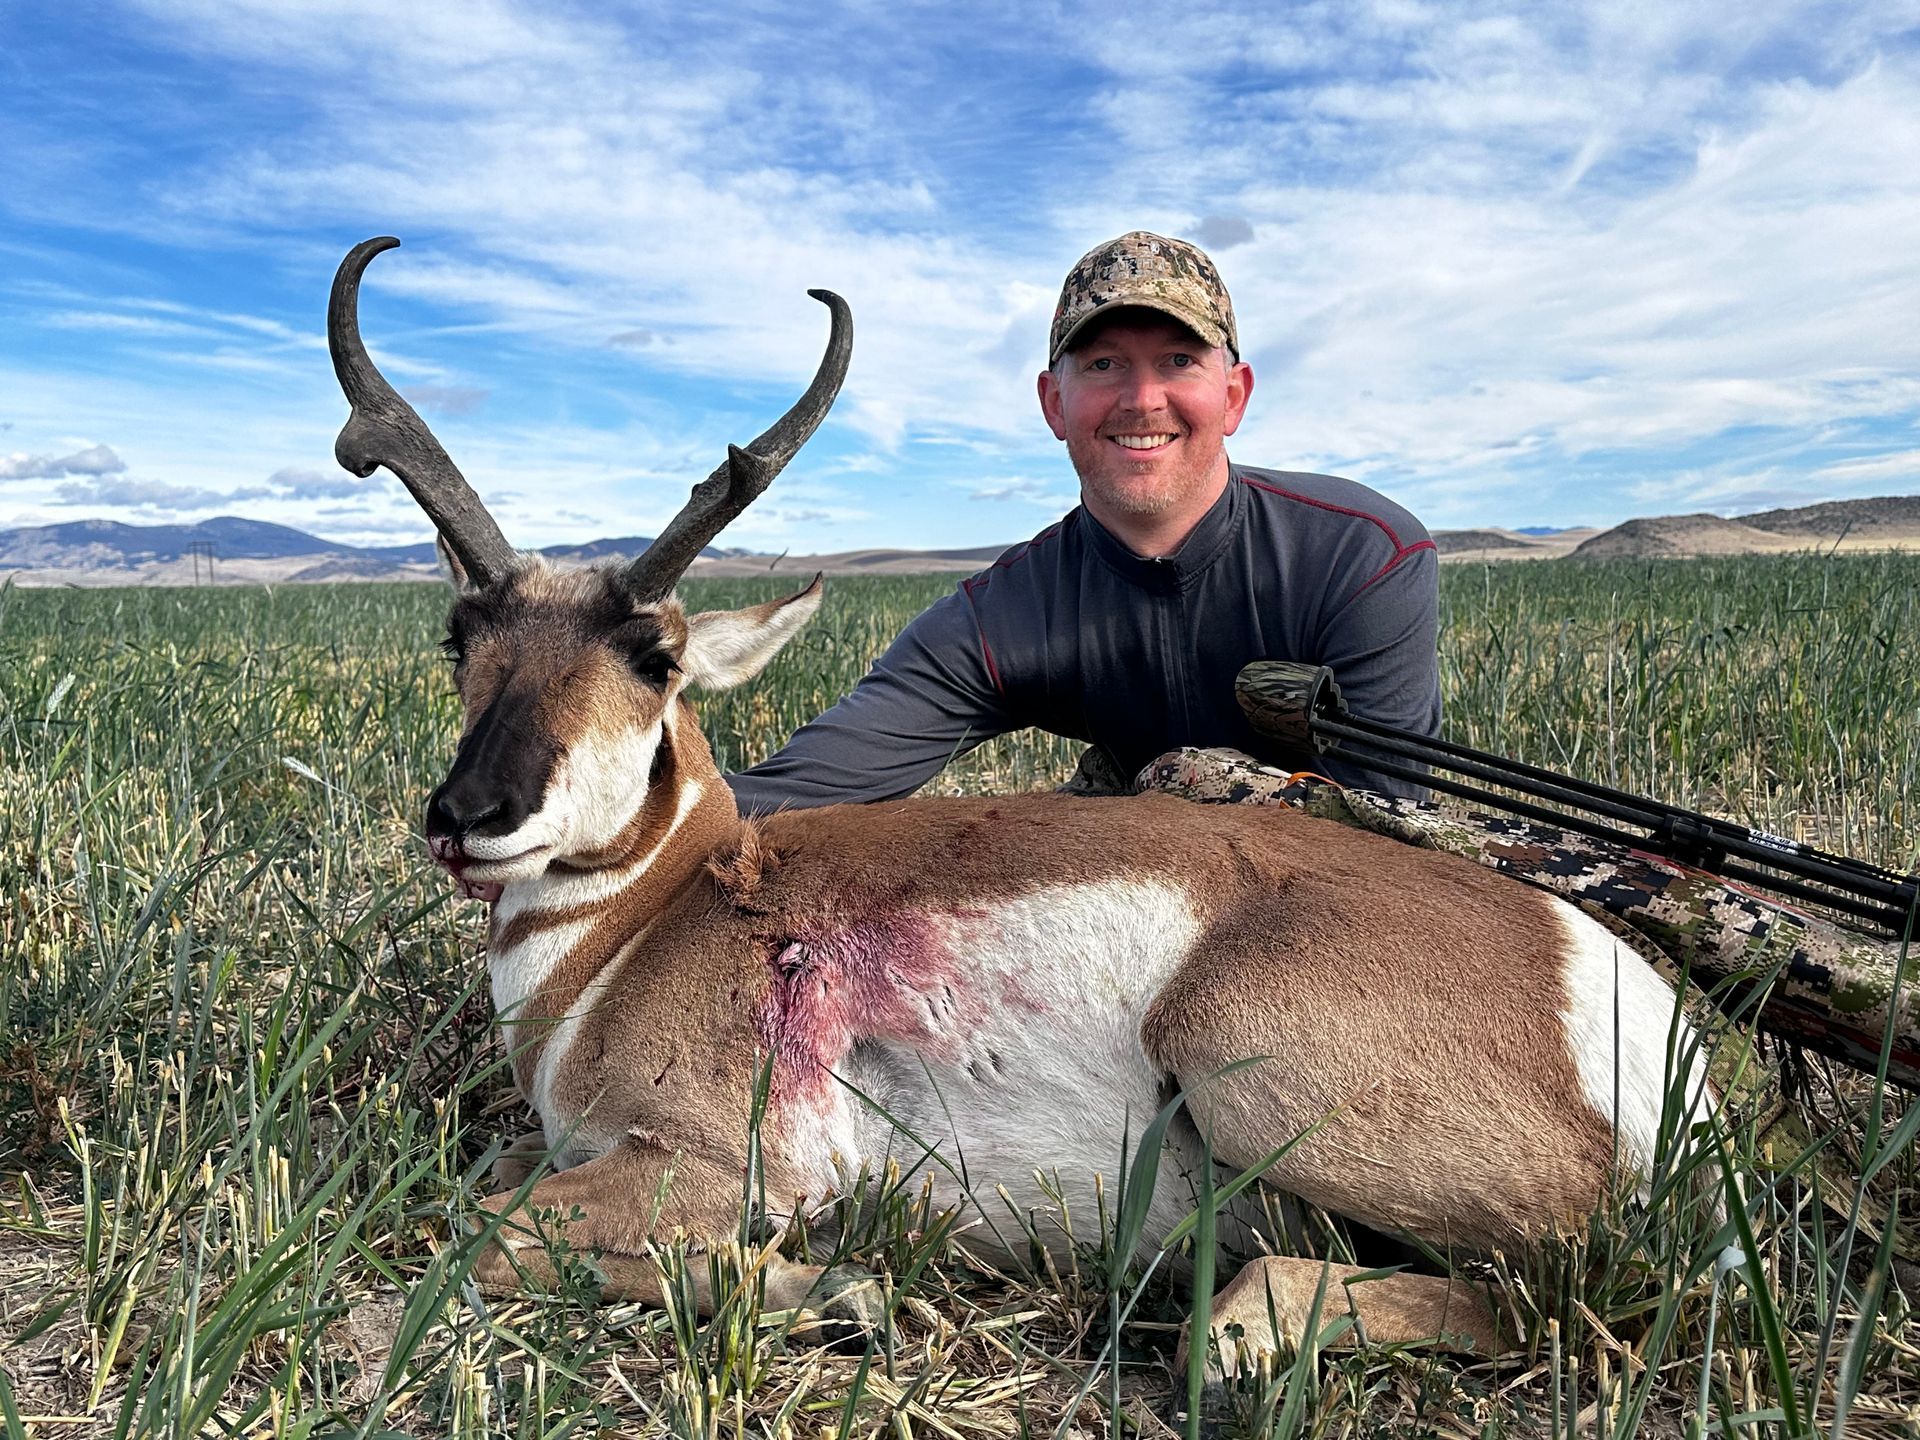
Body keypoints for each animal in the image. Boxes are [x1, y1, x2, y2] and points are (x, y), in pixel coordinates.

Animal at [330, 237, 1714, 1368]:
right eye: (461, 636)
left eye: (655, 657)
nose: (470, 813)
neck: (649, 918)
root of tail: (1602, 977)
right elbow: (487, 1181)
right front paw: (841, 1296)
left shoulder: (706, 1164)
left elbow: (474, 1228)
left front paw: (842, 1292)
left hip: (1240, 1048)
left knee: (1580, 1297)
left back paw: (1232, 1331)